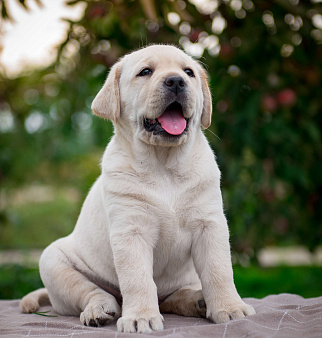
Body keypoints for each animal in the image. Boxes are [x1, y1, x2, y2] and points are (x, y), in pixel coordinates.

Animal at [20, 44, 256, 332]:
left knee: (173, 298)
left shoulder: (209, 224)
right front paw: (140, 317)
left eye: (188, 73)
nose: (176, 81)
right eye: (145, 72)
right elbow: (137, 278)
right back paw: (99, 310)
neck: (164, 165)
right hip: (53, 261)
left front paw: (230, 308)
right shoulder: (131, 231)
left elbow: (219, 270)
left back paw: (198, 300)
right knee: (94, 292)